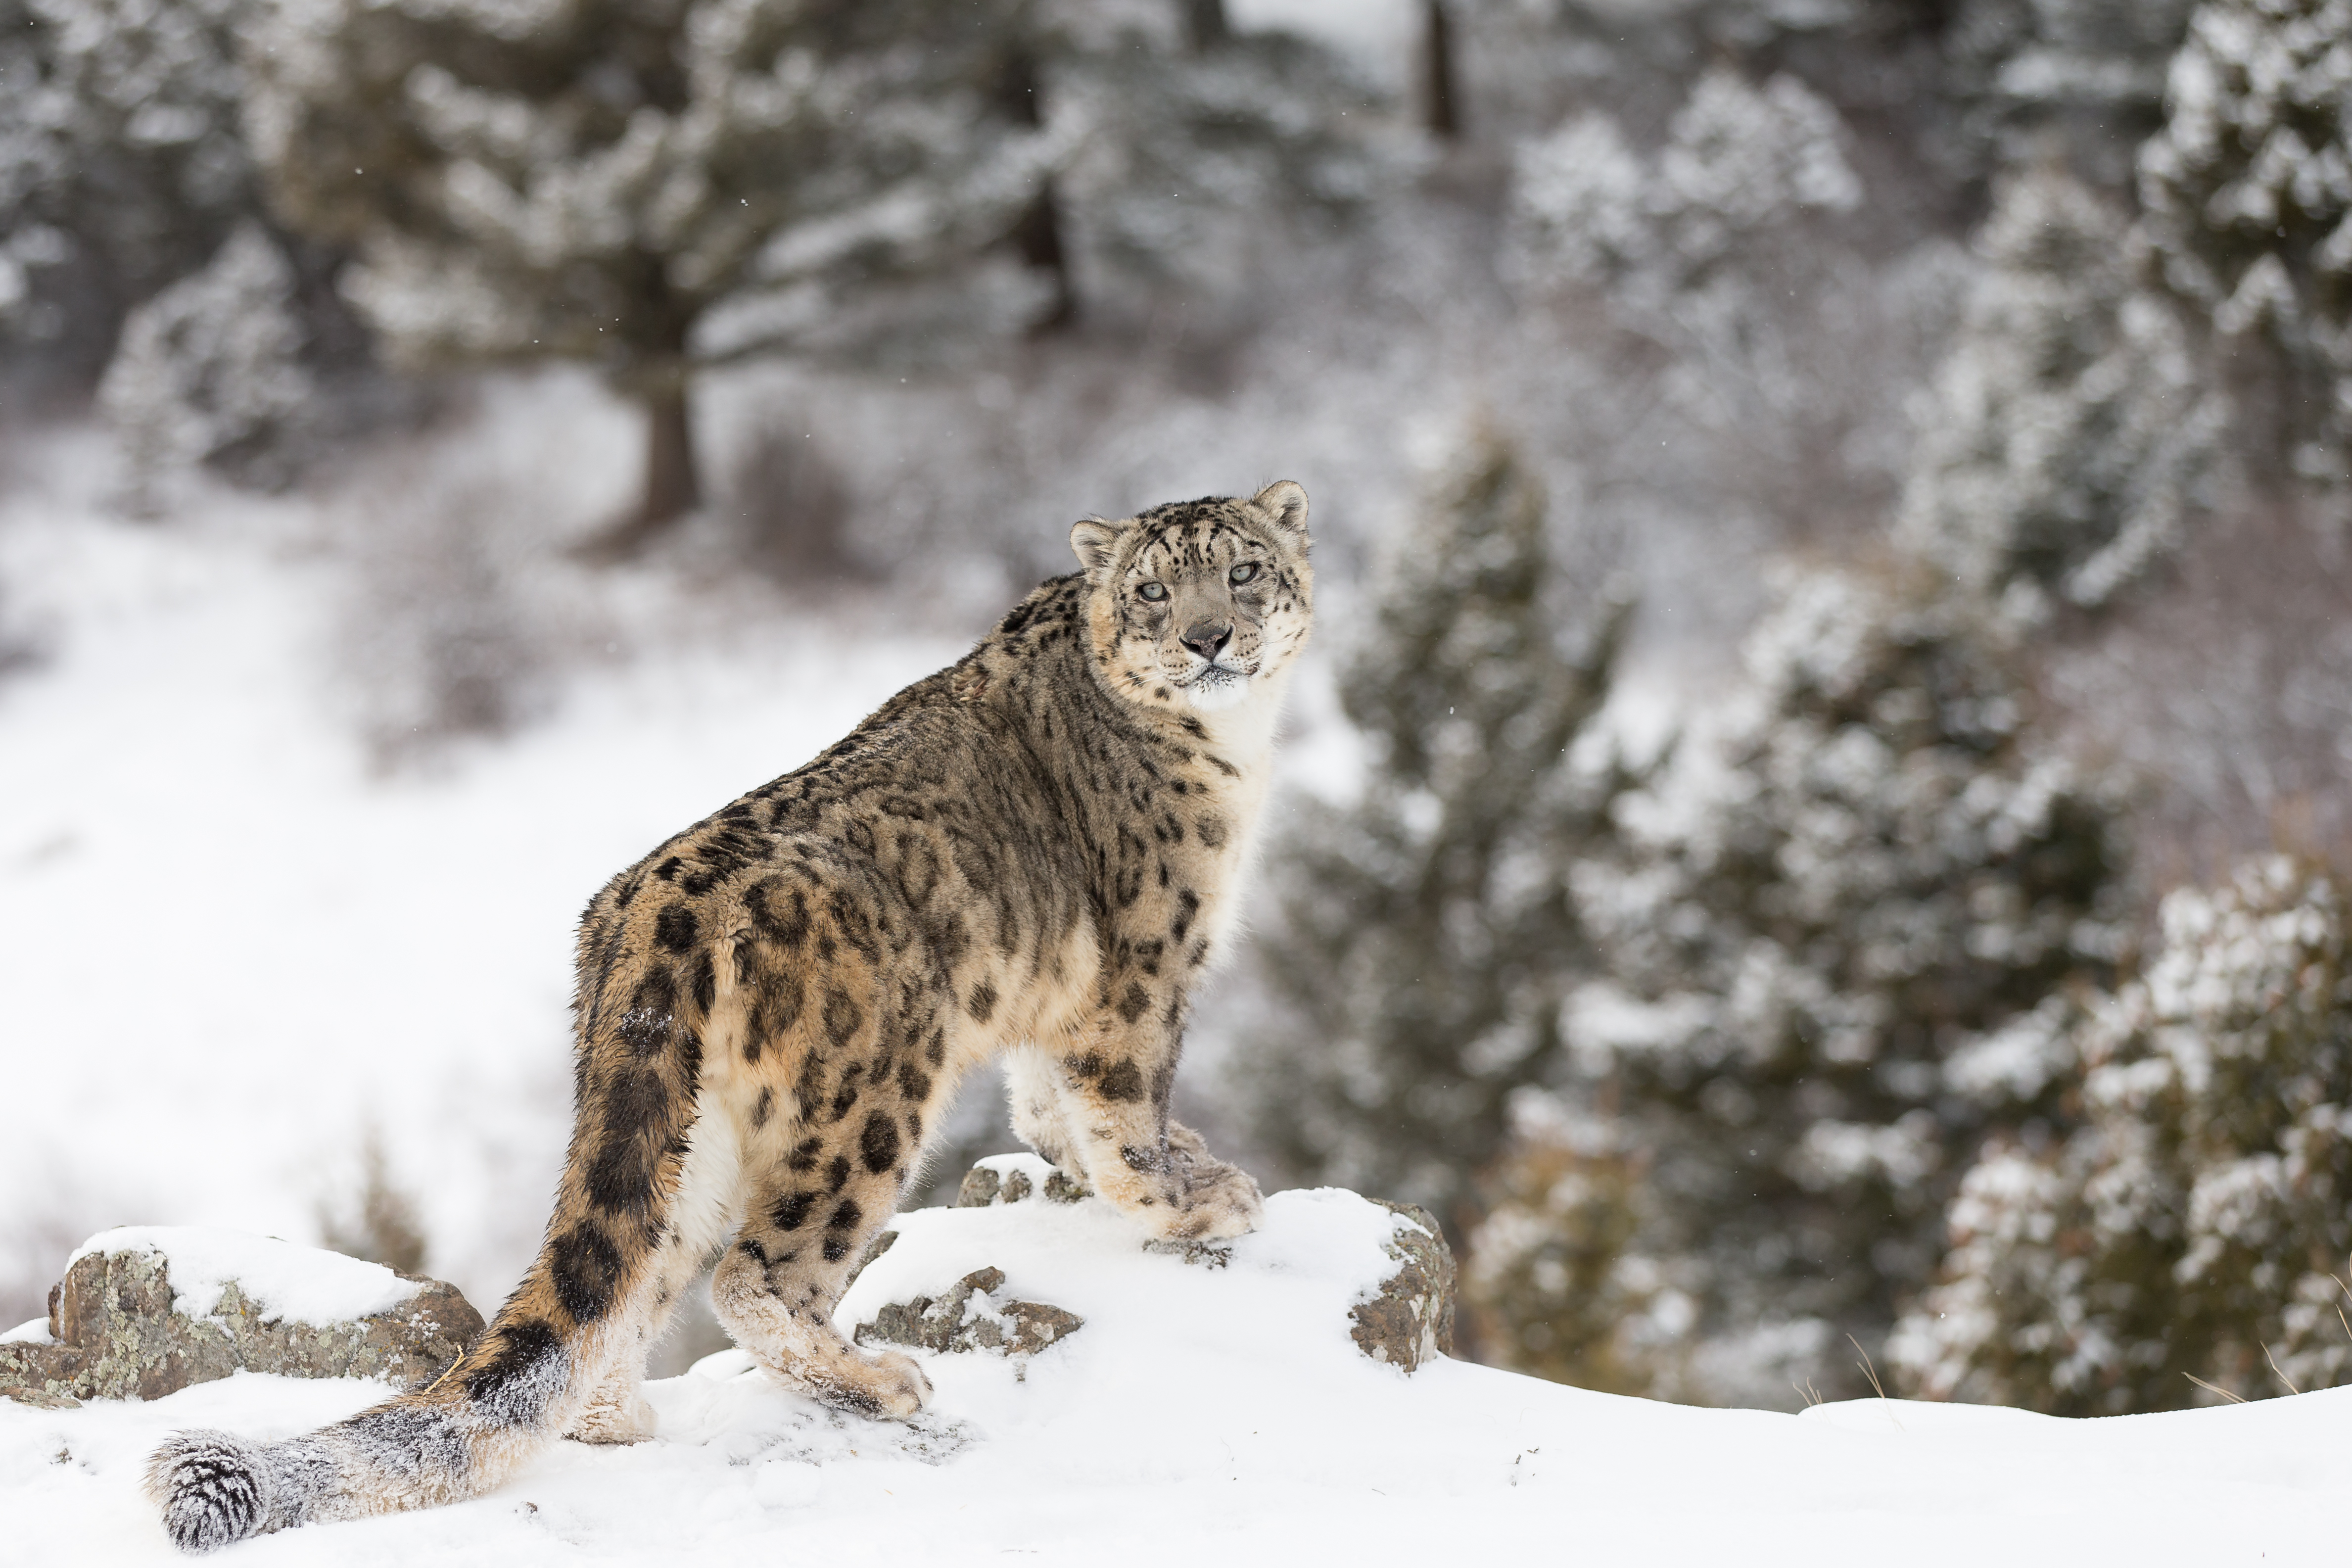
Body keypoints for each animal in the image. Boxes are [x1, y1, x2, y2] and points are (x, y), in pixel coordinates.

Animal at [147, 475, 1317, 1542]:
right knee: (756, 1271)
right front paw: (1195, 1199)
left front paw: (1126, 1167)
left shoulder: (1056, 997)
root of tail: (645, 915)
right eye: (1154, 589)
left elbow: (1046, 1107)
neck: (1235, 748)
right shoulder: (1144, 966)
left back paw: (617, 1419)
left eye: (1242, 570)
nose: (1210, 636)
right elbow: (1123, 1111)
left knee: (637, 1277)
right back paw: (877, 1380)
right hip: (871, 1097)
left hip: (686, 1131)